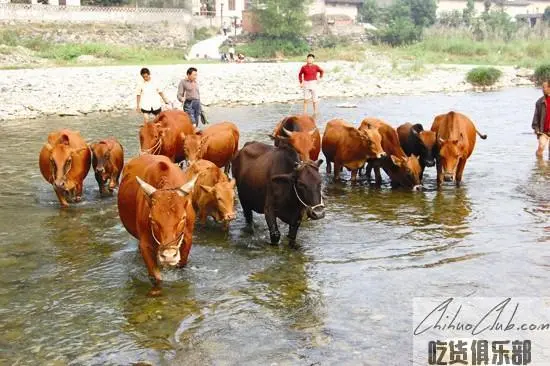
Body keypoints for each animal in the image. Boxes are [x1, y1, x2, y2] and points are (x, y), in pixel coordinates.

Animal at [117, 154, 199, 294]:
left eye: (183, 218)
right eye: (152, 219)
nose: (168, 256)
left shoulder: (187, 239)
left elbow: (181, 266)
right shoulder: (145, 244)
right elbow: (156, 277)